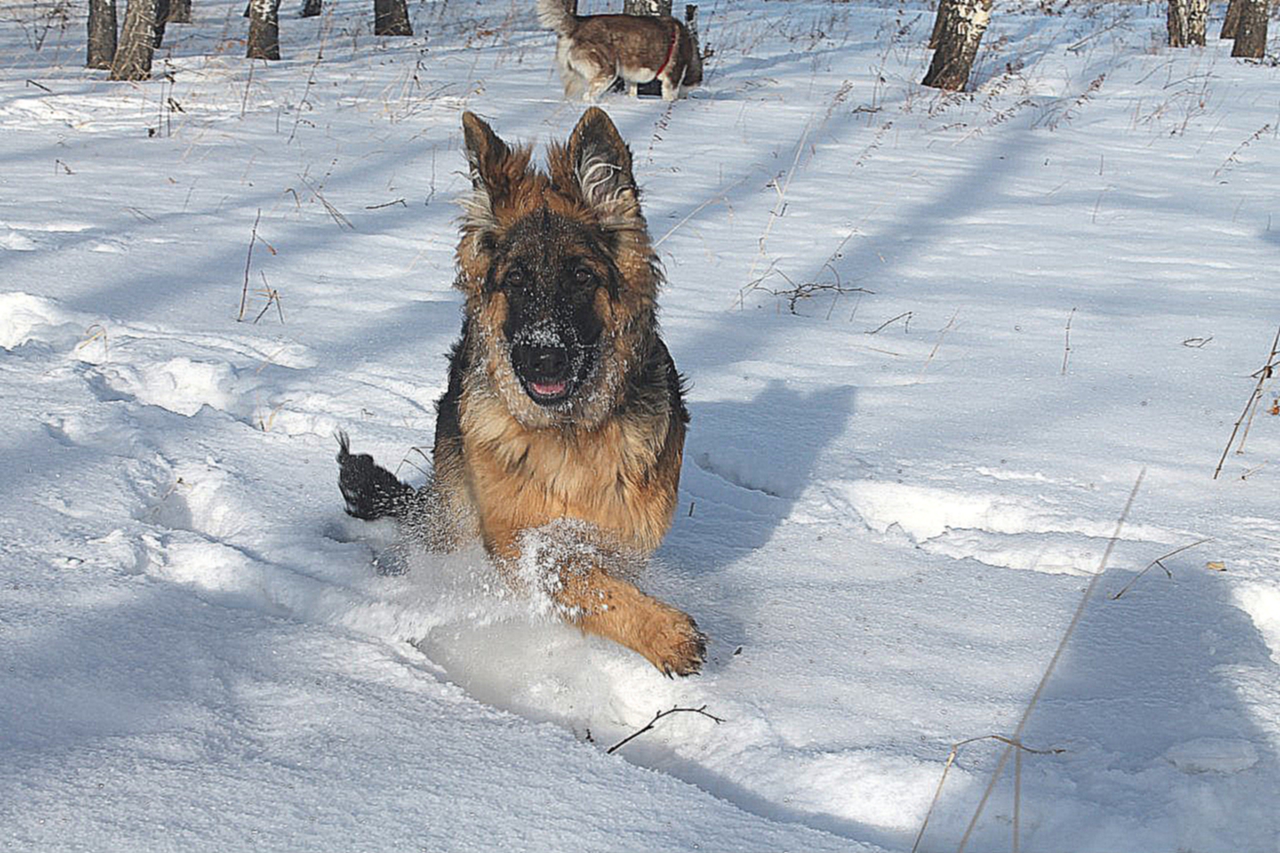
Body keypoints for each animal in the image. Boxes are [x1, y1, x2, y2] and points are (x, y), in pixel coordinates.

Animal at [335, 109, 706, 676]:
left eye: (582, 276)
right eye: (515, 280)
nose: (543, 358)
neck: (569, 432)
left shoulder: (627, 534)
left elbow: (591, 577)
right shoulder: (511, 536)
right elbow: (566, 571)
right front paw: (664, 633)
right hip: (457, 517)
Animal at [535, 0, 706, 101]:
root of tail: (578, 23)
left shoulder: (632, 78)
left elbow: (632, 91)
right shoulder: (672, 80)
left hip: (574, 77)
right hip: (607, 72)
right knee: (587, 96)